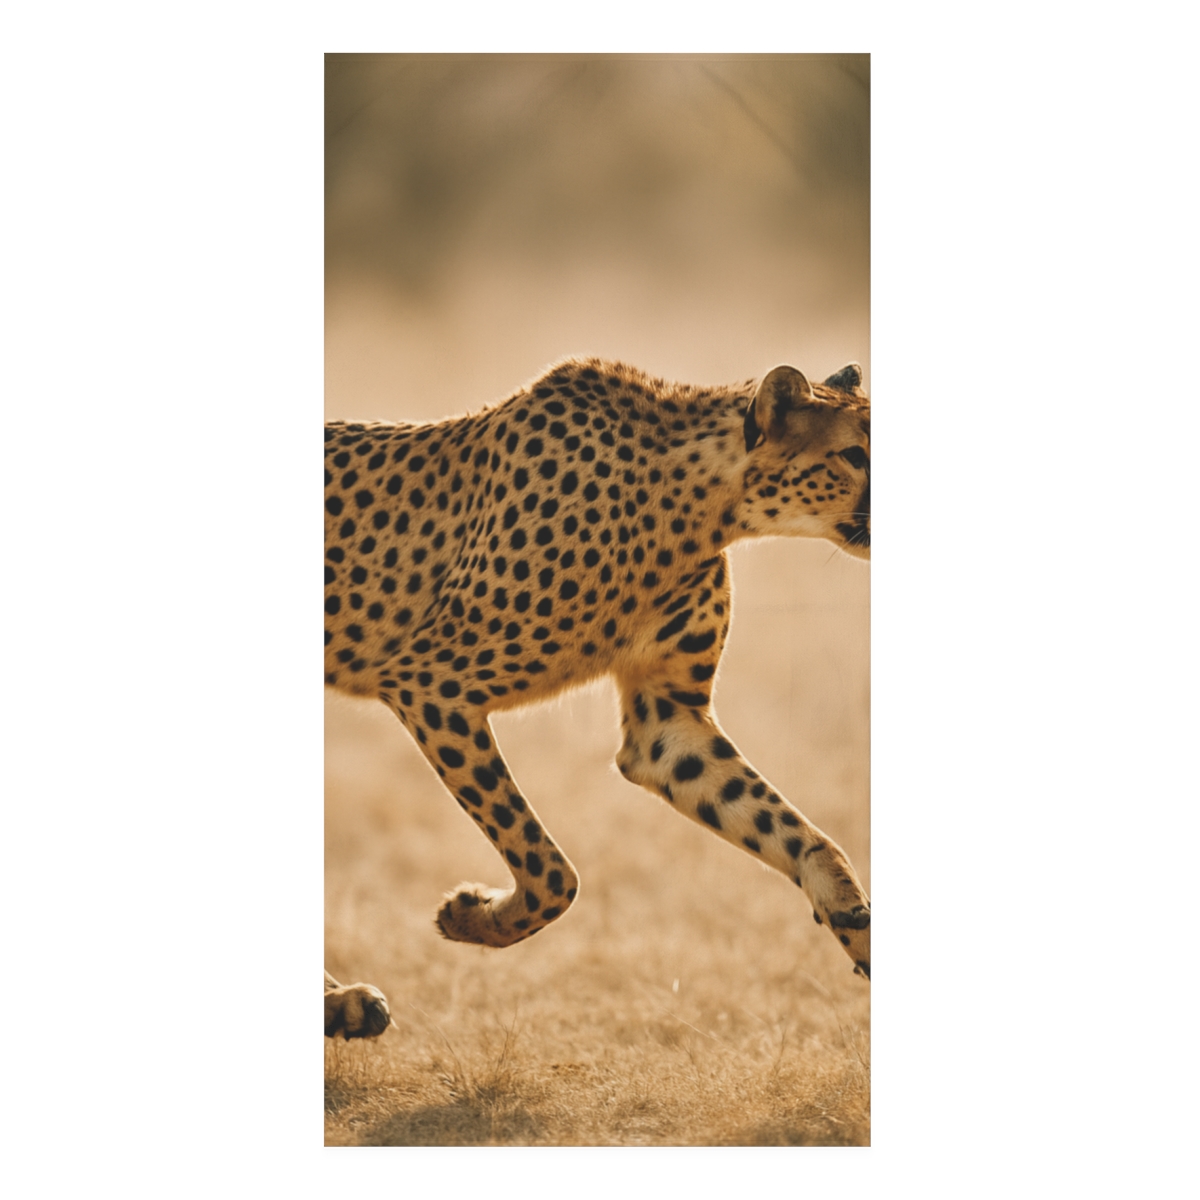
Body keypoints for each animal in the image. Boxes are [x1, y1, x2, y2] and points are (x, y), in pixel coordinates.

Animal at [324, 356, 870, 1038]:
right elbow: (554, 871)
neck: (700, 502)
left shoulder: (665, 725)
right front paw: (474, 916)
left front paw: (856, 923)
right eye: (855, 454)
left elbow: (794, 830)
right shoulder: (431, 683)